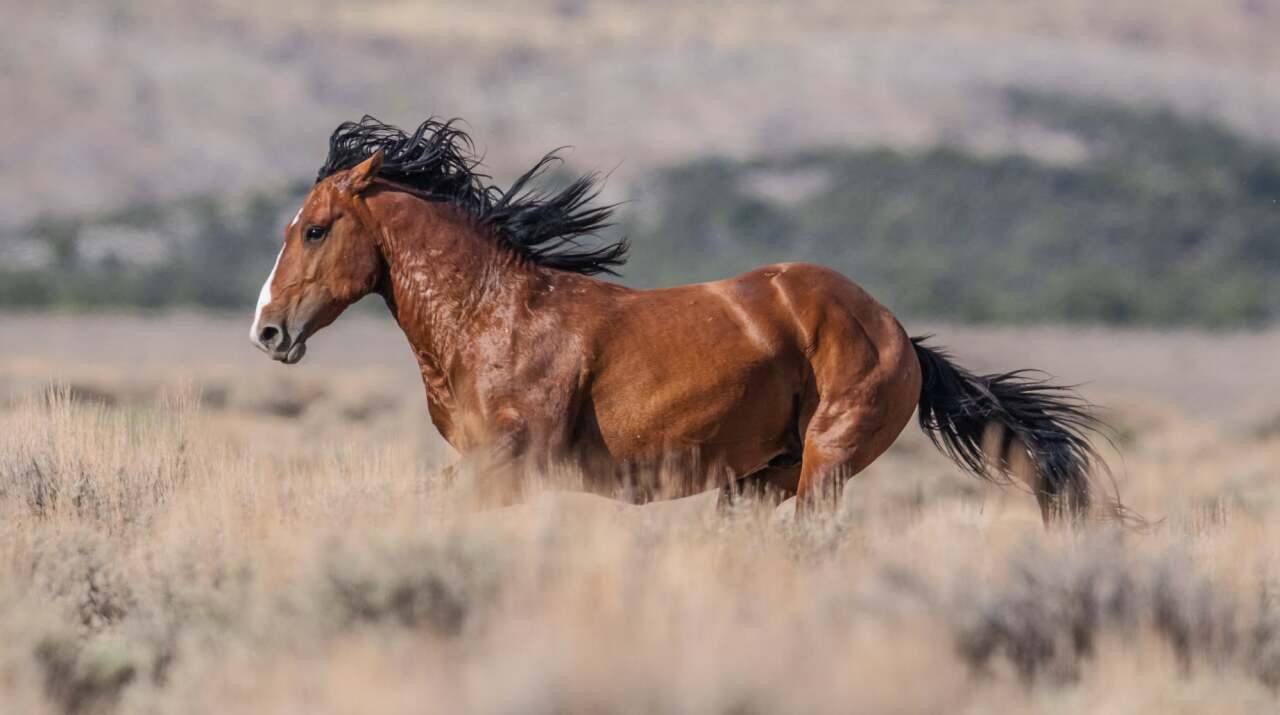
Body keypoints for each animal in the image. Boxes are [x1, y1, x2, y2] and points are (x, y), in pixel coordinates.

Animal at [250, 116, 1112, 522]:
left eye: (315, 229)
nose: (266, 330)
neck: (492, 315)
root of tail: (899, 332)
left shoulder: (508, 465)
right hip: (757, 481)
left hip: (825, 464)